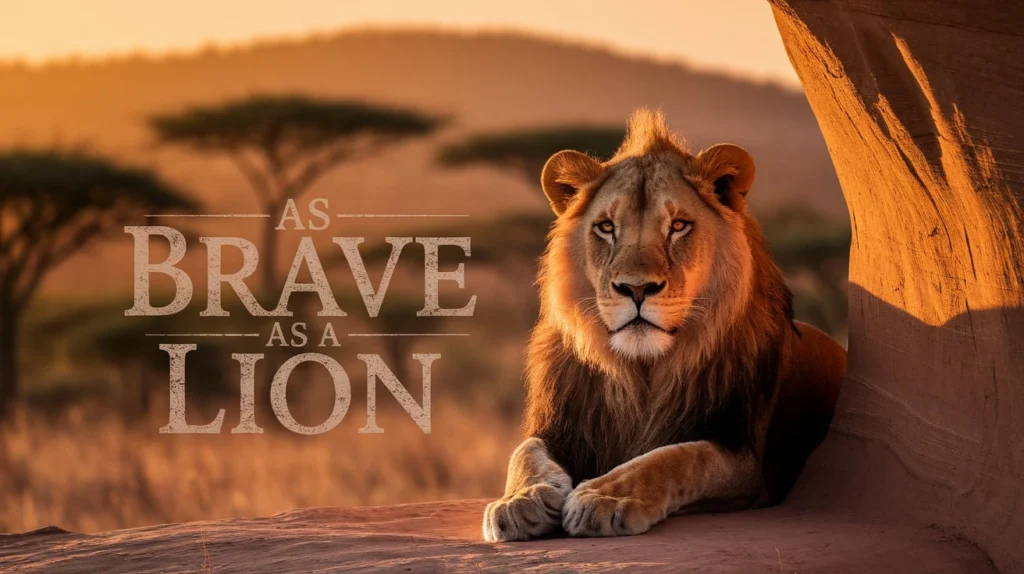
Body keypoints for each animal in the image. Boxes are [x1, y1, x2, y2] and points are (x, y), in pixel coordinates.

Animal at [482, 109, 847, 541]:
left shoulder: (743, 455)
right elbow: (525, 453)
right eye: (606, 227)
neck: (643, 370)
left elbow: (674, 457)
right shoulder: (561, 425)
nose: (636, 288)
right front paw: (519, 501)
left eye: (678, 226)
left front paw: (605, 496)